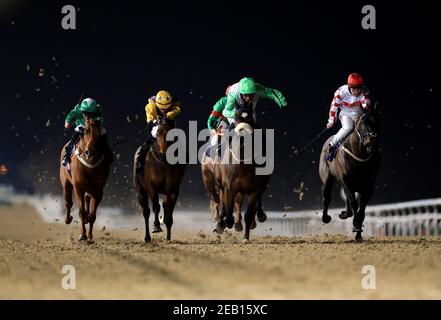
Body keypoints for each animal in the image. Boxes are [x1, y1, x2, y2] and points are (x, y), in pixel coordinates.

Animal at [59, 116, 111, 244]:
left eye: (99, 133)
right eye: (85, 132)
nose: (90, 152)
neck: (90, 166)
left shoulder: (98, 191)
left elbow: (92, 214)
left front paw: (90, 236)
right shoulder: (78, 188)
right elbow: (81, 211)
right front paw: (83, 235)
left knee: (87, 199)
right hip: (66, 183)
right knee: (68, 202)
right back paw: (68, 219)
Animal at [318, 107, 380, 240]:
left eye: (377, 121)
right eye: (363, 123)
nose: (371, 141)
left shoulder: (368, 186)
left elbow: (362, 207)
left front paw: (358, 230)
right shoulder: (346, 181)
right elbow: (354, 203)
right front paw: (356, 226)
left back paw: (345, 214)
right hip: (327, 178)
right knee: (327, 197)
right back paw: (326, 217)